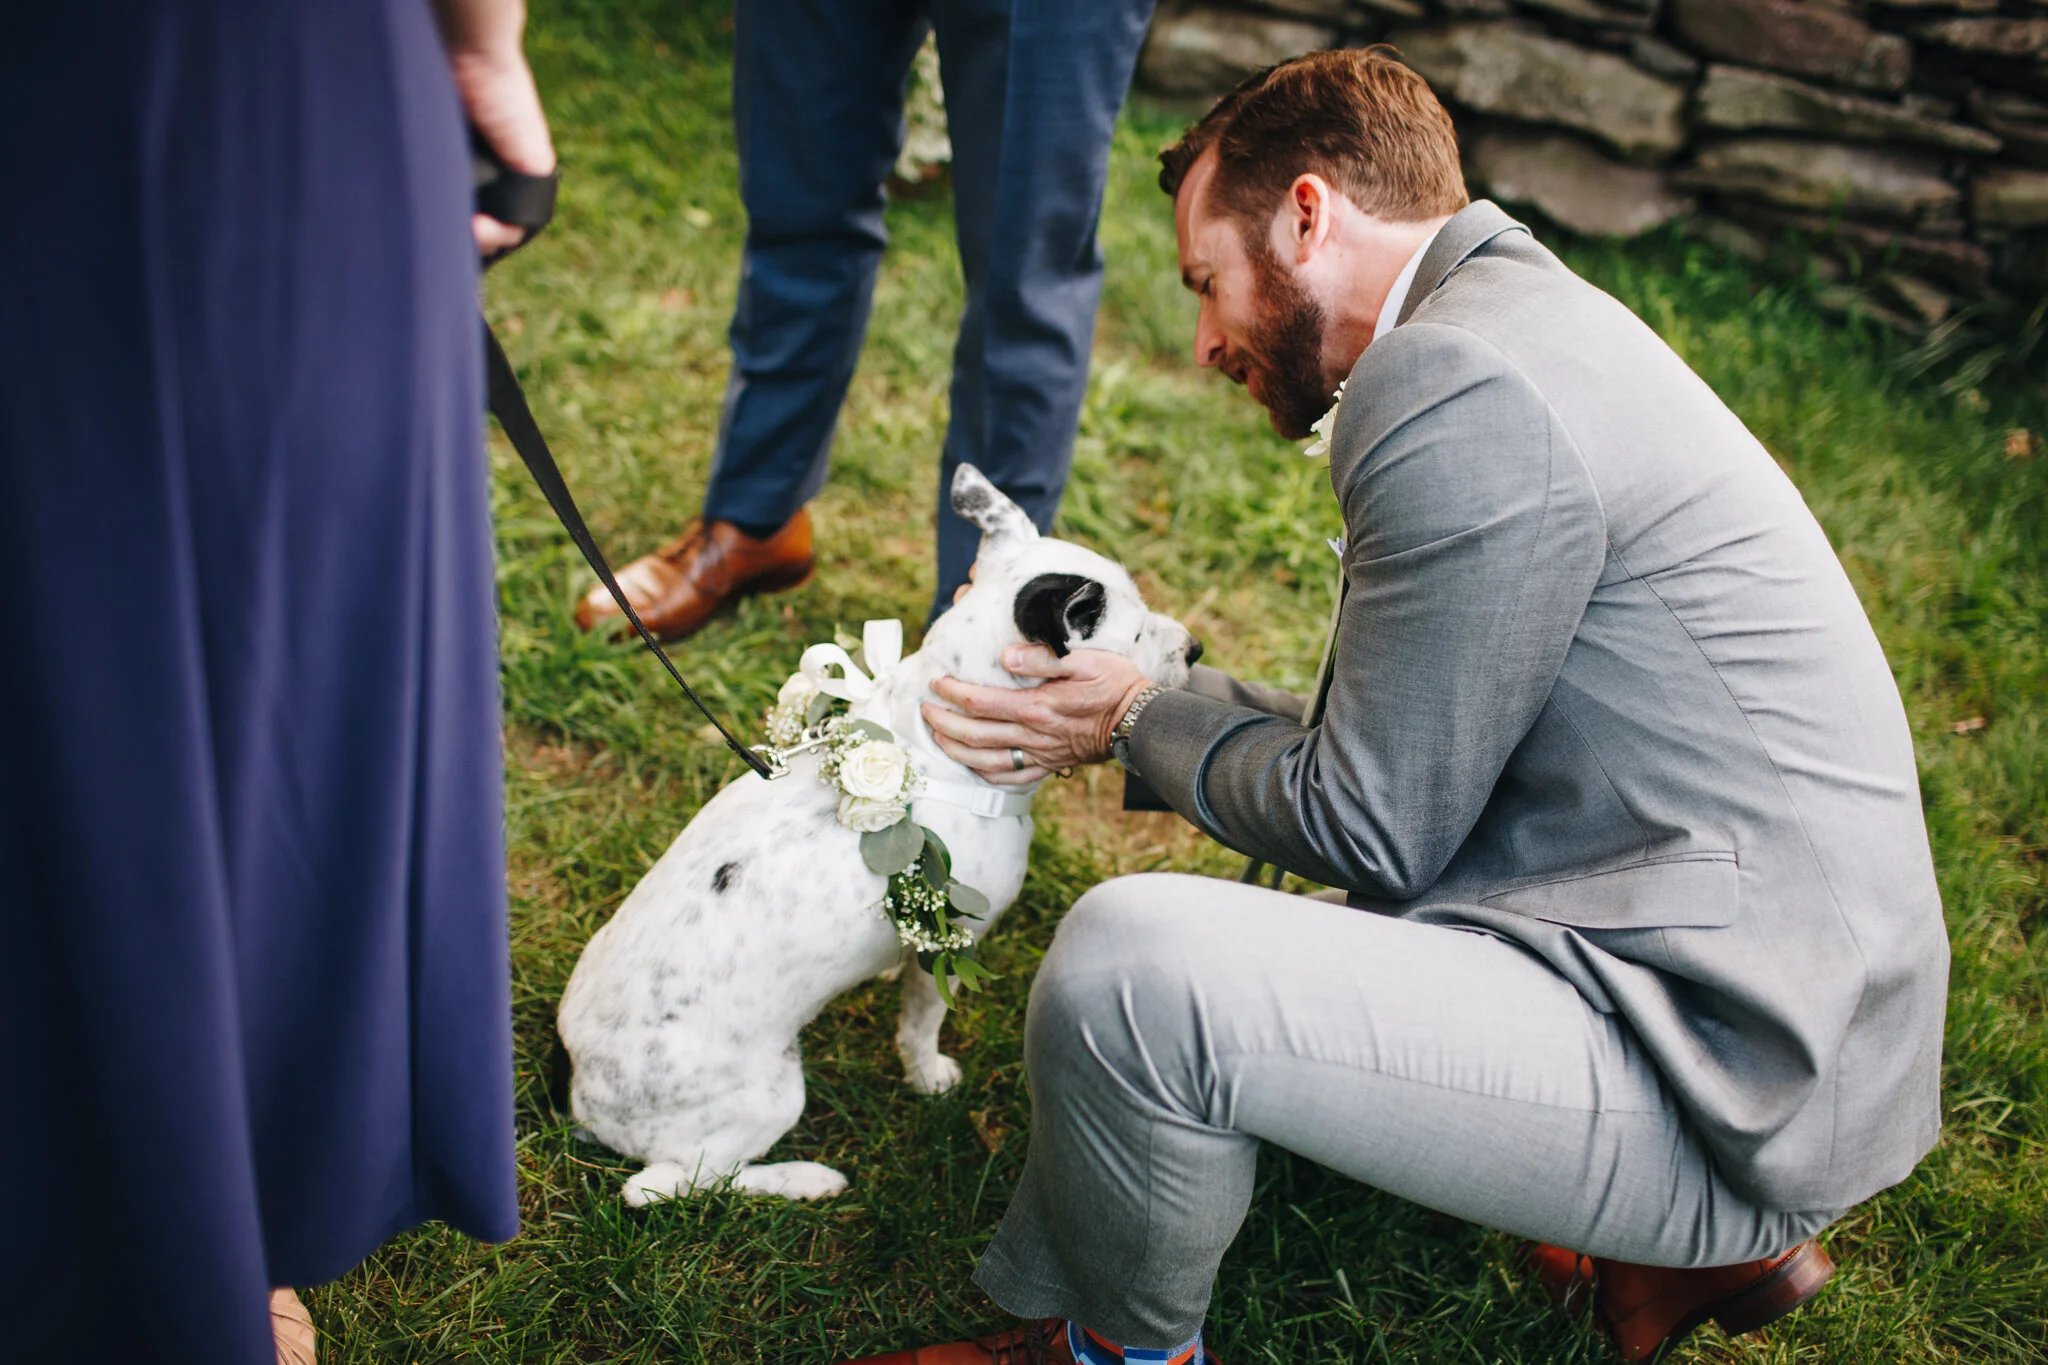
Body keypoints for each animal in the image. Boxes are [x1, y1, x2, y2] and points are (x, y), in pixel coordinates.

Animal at [557, 465, 1197, 1204]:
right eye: (1138, 636)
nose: (1195, 649)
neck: (928, 744)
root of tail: (584, 1096)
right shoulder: (955, 939)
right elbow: (922, 1022)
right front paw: (928, 1078)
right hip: (766, 1100)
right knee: (675, 1182)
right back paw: (804, 1178)